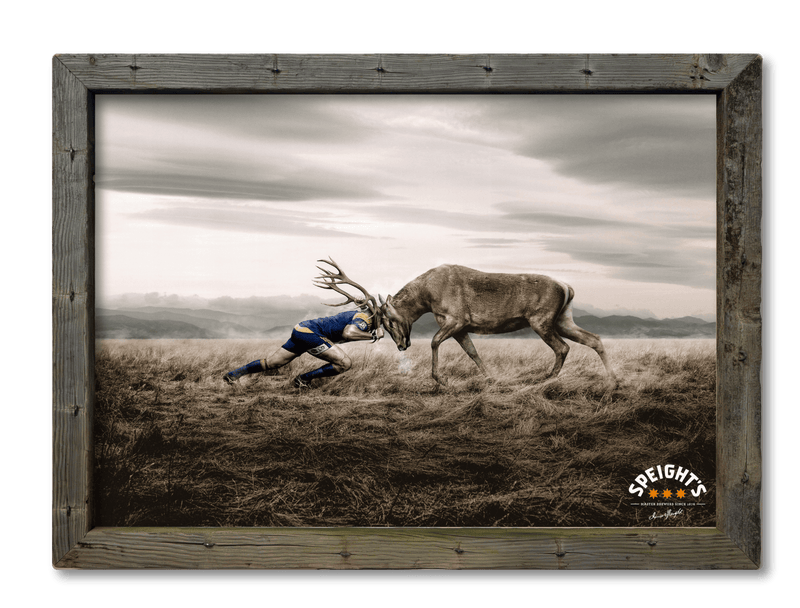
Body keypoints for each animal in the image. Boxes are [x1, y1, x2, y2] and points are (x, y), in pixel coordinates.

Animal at [378, 264, 616, 387]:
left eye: (390, 321)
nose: (401, 345)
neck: (426, 298)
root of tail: (568, 288)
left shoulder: (457, 319)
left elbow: (434, 341)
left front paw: (441, 378)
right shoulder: (461, 328)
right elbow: (472, 352)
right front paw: (491, 377)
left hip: (541, 320)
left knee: (563, 347)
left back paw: (545, 378)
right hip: (563, 320)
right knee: (593, 338)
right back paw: (613, 378)